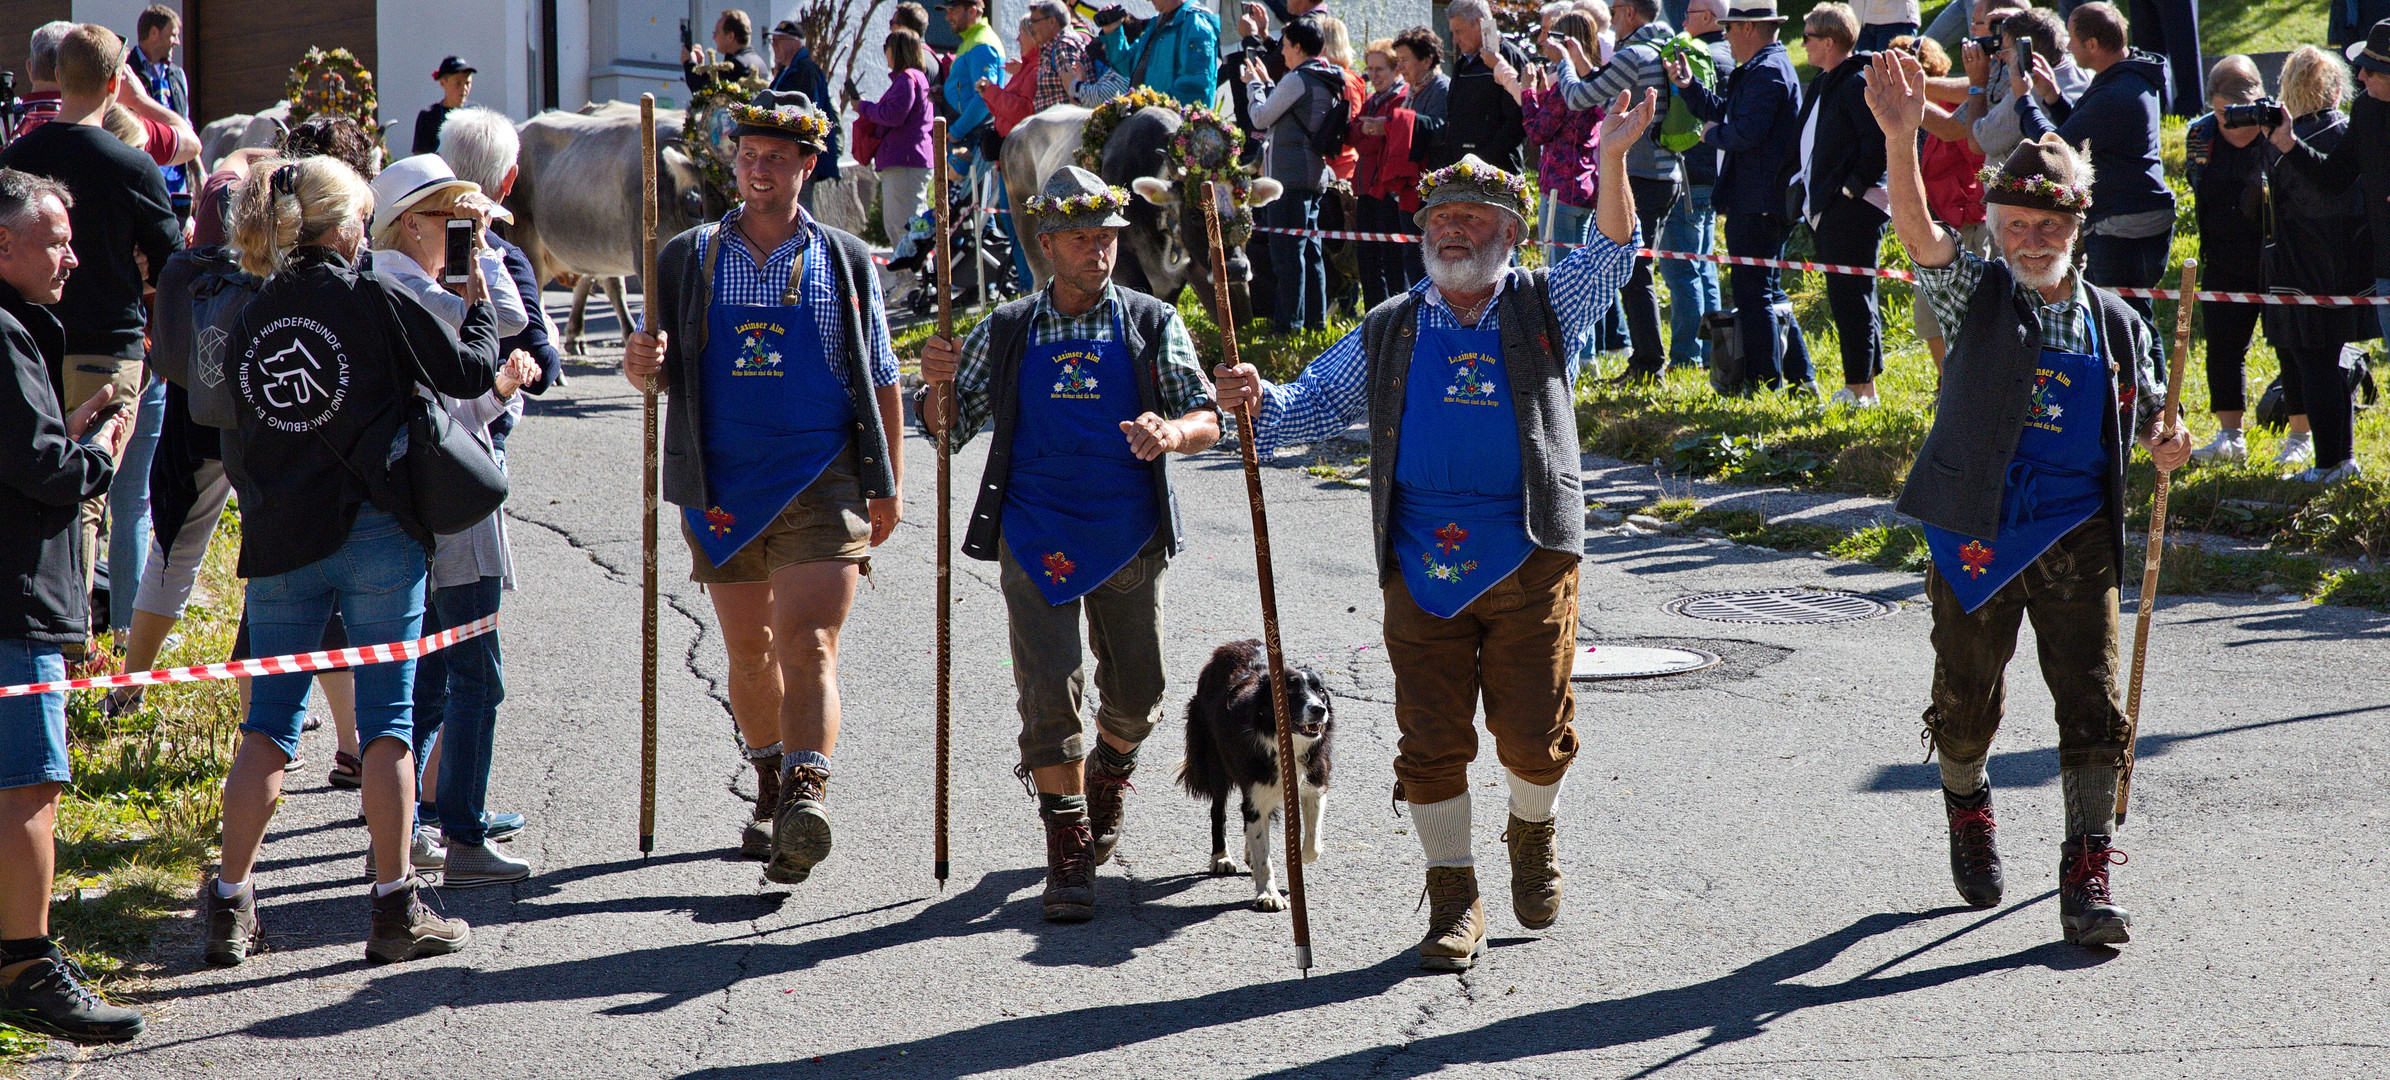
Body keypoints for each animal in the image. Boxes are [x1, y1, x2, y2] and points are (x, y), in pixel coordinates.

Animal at [999, 103, 1281, 315]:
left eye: (1247, 214)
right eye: (1194, 214)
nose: (1235, 269)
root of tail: (1015, 133)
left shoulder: (1173, 278)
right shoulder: (1122, 257)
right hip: (1027, 236)